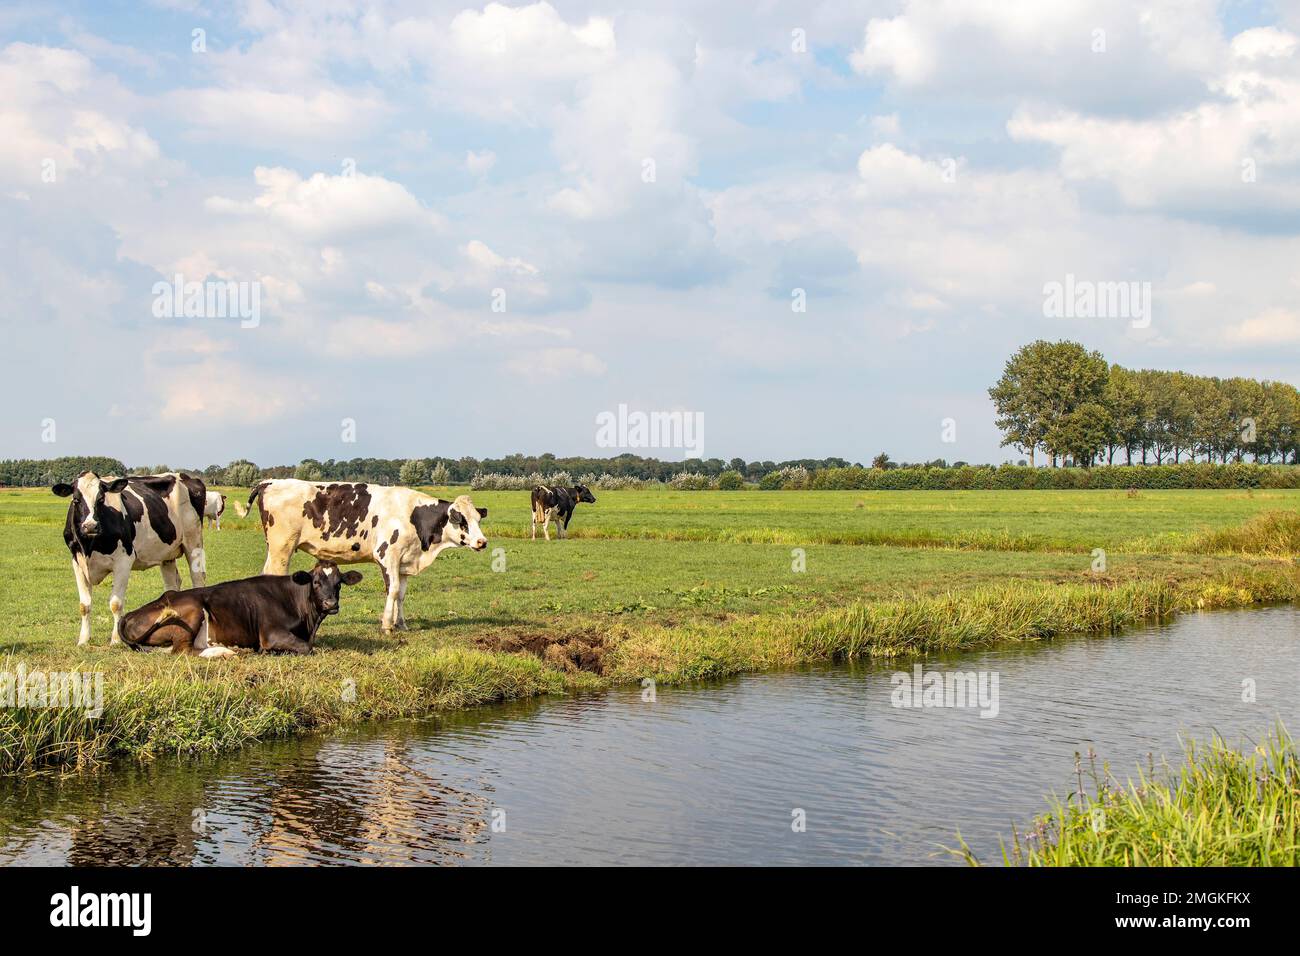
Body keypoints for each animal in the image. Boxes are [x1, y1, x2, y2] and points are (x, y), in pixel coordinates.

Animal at [52, 473, 206, 647]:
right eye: (76, 499)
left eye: (101, 499)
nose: (90, 526)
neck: (89, 546)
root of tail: (186, 476)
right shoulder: (77, 563)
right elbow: (84, 605)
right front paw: (83, 640)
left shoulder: (123, 561)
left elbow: (115, 603)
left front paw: (116, 640)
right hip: (167, 554)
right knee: (172, 584)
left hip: (193, 542)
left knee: (198, 579)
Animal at [119, 561, 364, 658]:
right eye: (315, 582)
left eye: (339, 583)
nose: (331, 604)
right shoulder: (271, 634)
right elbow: (307, 648)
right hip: (192, 610)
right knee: (184, 651)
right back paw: (225, 651)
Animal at [239, 481, 488, 632]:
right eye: (461, 520)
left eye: (478, 519)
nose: (482, 542)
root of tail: (268, 482)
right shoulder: (387, 555)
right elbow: (393, 590)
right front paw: (387, 625)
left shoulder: (404, 561)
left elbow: (401, 594)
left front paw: (401, 624)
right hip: (281, 548)